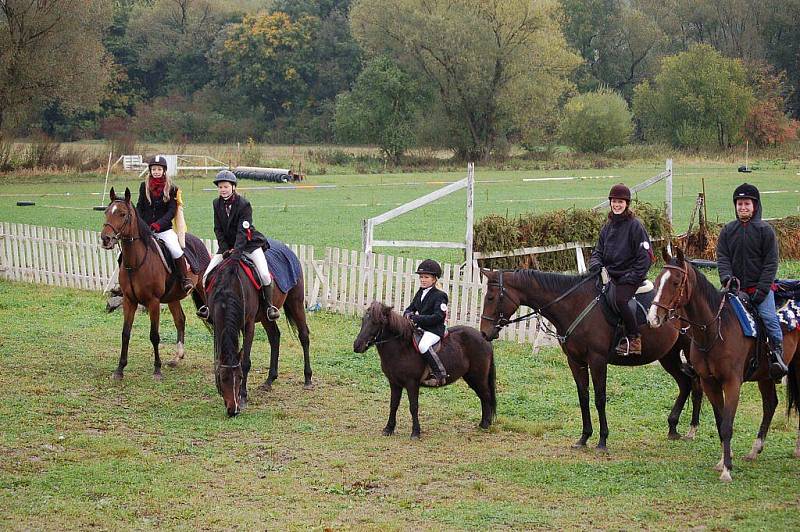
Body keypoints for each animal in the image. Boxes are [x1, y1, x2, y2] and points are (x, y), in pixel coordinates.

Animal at [99, 189, 209, 380]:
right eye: (106, 211)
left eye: (122, 214)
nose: (106, 238)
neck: (136, 262)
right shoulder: (129, 301)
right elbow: (125, 333)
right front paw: (120, 369)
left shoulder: (153, 302)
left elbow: (154, 335)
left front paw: (157, 369)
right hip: (173, 298)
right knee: (180, 320)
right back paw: (177, 357)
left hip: (202, 291)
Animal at [206, 251, 312, 418]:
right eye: (223, 378)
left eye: (240, 377)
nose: (233, 410)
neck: (228, 291)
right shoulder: (217, 325)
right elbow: (218, 359)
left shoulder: (249, 326)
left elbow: (245, 362)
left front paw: (243, 396)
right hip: (265, 317)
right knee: (274, 337)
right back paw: (269, 380)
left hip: (296, 303)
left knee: (304, 336)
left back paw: (308, 378)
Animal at [354, 302, 496, 438]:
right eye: (363, 320)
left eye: (376, 322)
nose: (357, 346)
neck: (402, 348)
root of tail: (484, 337)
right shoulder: (394, 383)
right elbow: (393, 405)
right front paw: (389, 429)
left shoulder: (412, 383)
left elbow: (413, 407)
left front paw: (415, 432)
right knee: (484, 397)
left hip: (477, 377)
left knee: (486, 396)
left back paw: (485, 424)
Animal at [478, 270, 704, 448]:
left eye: (490, 298)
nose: (484, 333)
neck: (575, 305)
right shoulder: (575, 361)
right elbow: (583, 396)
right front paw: (584, 437)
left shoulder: (597, 361)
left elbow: (600, 398)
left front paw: (602, 440)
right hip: (669, 355)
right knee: (685, 384)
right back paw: (673, 427)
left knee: (695, 384)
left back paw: (692, 428)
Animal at [648, 248, 796, 482]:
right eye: (657, 280)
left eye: (675, 282)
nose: (653, 317)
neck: (715, 330)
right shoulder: (710, 383)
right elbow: (720, 422)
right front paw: (723, 462)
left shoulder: (732, 383)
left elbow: (727, 425)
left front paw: (727, 469)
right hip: (765, 375)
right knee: (770, 404)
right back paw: (755, 450)